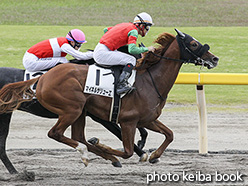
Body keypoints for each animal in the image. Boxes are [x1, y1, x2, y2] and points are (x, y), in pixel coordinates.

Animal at [0, 29, 219, 167]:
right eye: (193, 43)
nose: (214, 58)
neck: (149, 80)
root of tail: (43, 77)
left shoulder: (147, 119)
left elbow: (170, 134)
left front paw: (154, 155)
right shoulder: (126, 120)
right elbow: (127, 149)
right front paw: (122, 151)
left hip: (78, 112)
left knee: (76, 136)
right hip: (72, 109)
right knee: (57, 134)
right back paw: (85, 153)